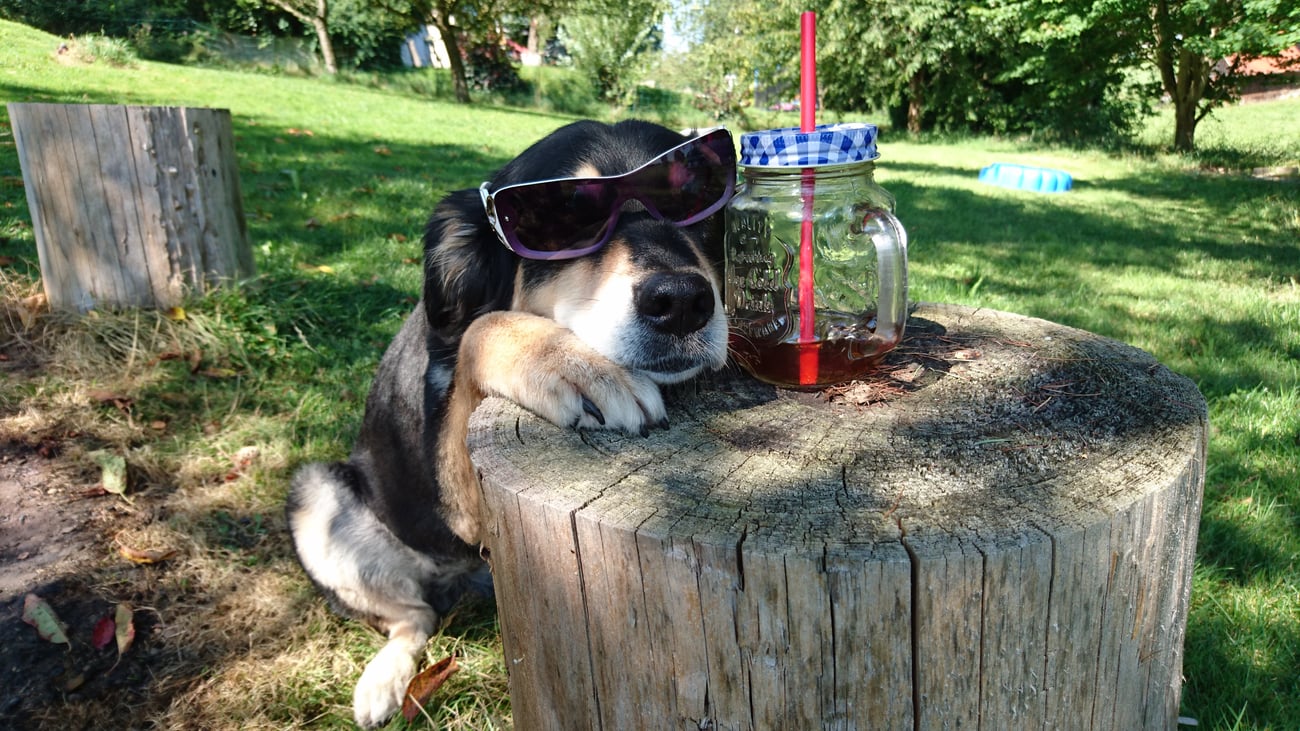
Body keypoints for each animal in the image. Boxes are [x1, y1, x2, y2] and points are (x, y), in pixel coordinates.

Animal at [286, 119, 735, 727]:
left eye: (697, 203)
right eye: (564, 215)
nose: (682, 301)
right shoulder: (456, 500)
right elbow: (482, 329)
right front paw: (574, 363)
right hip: (317, 497)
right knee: (413, 618)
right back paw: (383, 682)